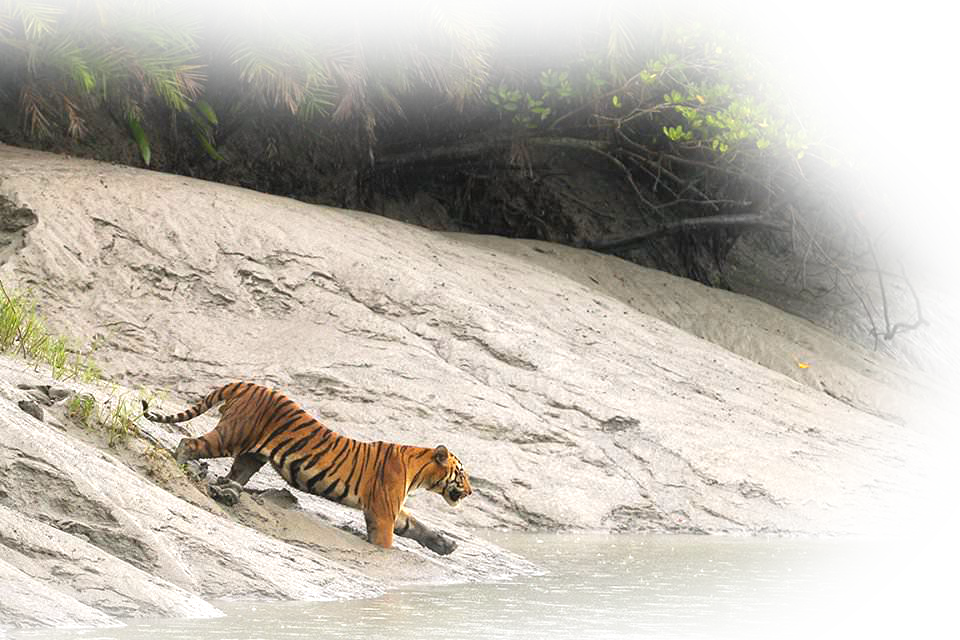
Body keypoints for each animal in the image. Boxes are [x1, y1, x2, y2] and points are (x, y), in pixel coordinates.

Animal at [140, 380, 472, 556]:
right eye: (462, 474)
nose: (470, 492)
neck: (418, 471)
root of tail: (247, 384)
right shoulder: (382, 512)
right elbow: (387, 541)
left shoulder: (393, 510)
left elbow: (417, 525)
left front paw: (446, 543)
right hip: (231, 436)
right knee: (189, 442)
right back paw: (181, 469)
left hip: (251, 455)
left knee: (233, 476)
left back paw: (226, 492)